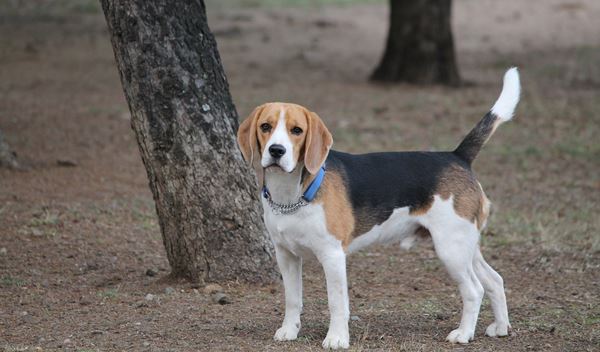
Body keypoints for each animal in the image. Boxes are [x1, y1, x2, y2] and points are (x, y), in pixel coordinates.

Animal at [237, 69, 516, 350]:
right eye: (265, 127)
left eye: (297, 130)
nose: (276, 150)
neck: (291, 194)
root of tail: (457, 156)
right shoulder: (286, 255)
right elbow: (293, 299)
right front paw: (289, 330)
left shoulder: (332, 255)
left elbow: (337, 302)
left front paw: (337, 338)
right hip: (466, 245)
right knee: (495, 280)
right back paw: (501, 327)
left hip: (451, 248)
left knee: (474, 290)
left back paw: (463, 333)